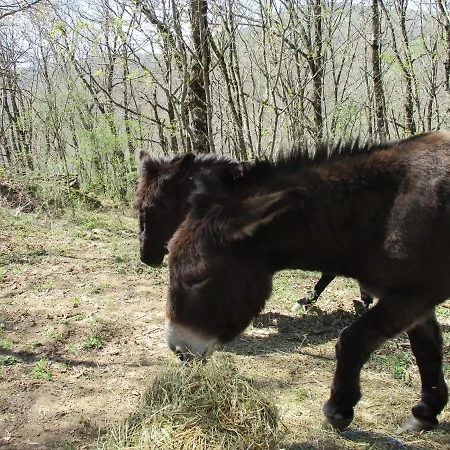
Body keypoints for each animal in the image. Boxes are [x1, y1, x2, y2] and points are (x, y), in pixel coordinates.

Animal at [165, 131, 450, 432]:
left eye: (197, 279)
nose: (178, 350)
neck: (381, 211)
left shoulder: (415, 294)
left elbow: (352, 340)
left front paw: (338, 409)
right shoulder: (410, 299)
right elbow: (427, 351)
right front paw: (426, 411)